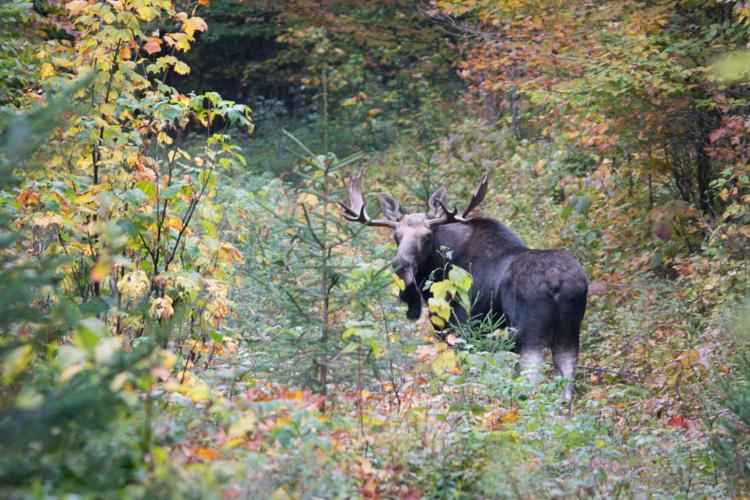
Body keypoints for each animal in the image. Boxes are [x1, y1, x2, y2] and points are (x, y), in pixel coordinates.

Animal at [340, 167, 588, 404]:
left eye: (427, 235)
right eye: (396, 235)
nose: (401, 266)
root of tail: (558, 284)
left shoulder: (459, 328)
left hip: (529, 334)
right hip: (568, 335)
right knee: (566, 391)